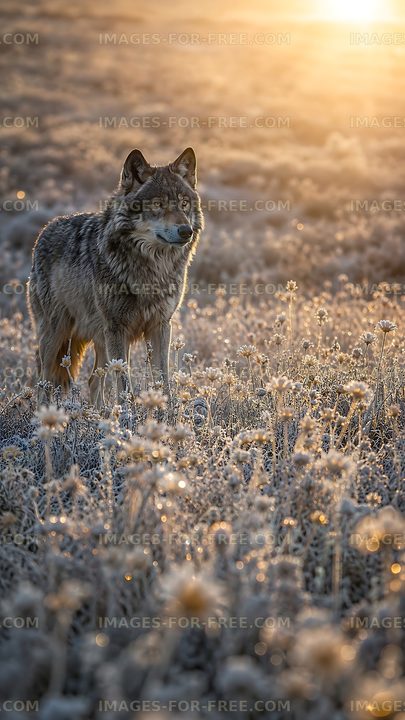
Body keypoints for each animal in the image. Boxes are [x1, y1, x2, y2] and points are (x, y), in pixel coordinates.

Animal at [27, 147, 203, 406]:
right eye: (158, 204)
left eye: (184, 203)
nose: (186, 231)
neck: (152, 269)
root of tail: (45, 230)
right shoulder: (117, 328)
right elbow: (123, 385)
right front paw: (129, 415)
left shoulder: (160, 325)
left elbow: (163, 380)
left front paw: (165, 413)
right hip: (57, 334)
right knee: (44, 380)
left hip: (99, 339)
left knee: (93, 380)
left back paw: (97, 413)